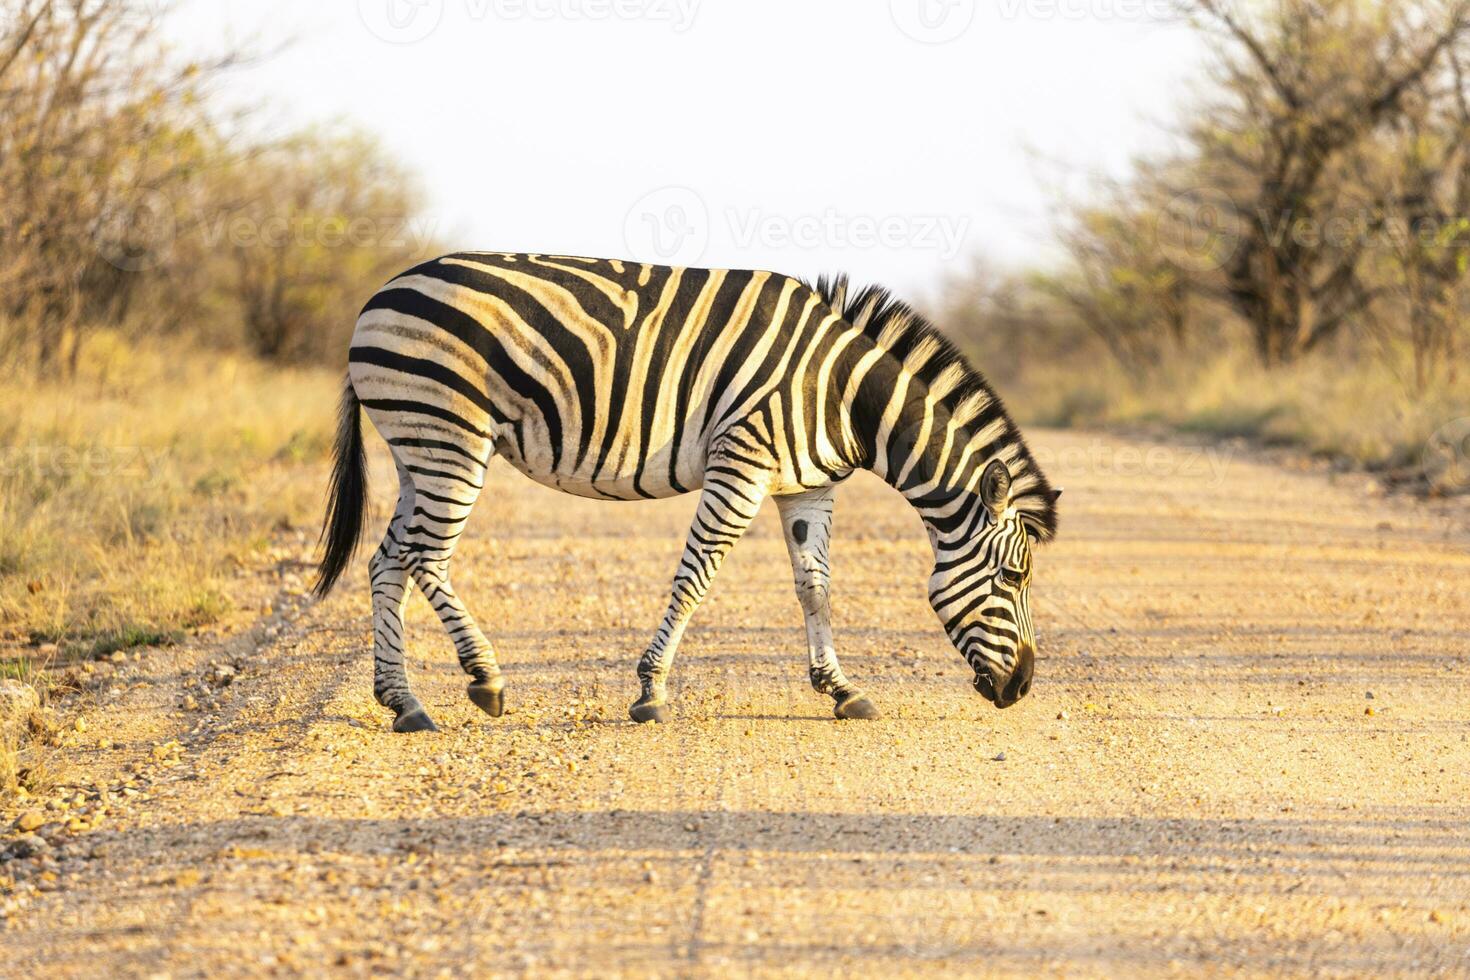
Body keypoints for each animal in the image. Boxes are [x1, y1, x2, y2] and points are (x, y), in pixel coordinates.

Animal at [316, 249, 1064, 731]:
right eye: (1014, 576)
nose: (1024, 687)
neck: (843, 396)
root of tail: (379, 294)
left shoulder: (806, 487)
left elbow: (815, 587)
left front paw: (842, 690)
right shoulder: (743, 460)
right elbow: (695, 576)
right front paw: (651, 691)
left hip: (418, 447)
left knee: (388, 561)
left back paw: (405, 703)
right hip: (450, 437)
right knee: (425, 556)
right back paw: (484, 678)